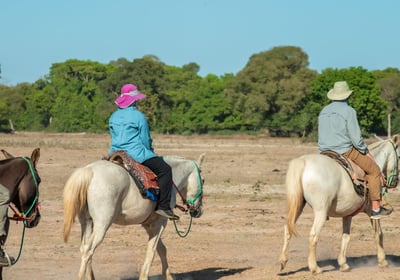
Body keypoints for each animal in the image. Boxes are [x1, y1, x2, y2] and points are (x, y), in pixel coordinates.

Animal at [63, 154, 206, 278]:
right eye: (203, 181)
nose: (199, 211)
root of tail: (89, 171)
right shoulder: (160, 222)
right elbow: (152, 251)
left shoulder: (149, 224)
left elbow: (161, 249)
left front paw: (169, 277)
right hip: (102, 225)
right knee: (88, 250)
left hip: (87, 222)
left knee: (84, 248)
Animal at [280, 136, 398, 274]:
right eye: (399, 156)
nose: (395, 182)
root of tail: (303, 162)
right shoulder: (372, 212)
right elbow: (379, 233)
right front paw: (383, 261)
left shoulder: (348, 214)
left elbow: (345, 237)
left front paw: (343, 264)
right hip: (320, 211)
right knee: (313, 235)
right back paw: (315, 268)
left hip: (298, 206)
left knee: (288, 229)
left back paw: (283, 261)